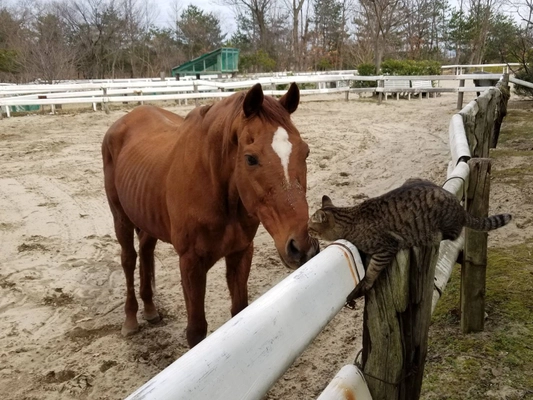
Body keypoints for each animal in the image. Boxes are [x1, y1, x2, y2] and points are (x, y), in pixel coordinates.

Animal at [101, 83, 318, 346]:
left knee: (145, 251)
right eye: (250, 158)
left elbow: (239, 311)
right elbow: (196, 331)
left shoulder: (241, 252)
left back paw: (150, 308)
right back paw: (131, 319)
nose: (301, 246)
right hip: (120, 217)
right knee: (129, 259)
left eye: (305, 152)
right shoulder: (191, 263)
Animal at [308, 177, 512, 304]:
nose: (306, 232)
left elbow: (372, 271)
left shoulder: (387, 247)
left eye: (310, 227)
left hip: (442, 225)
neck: (350, 220)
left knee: (454, 234)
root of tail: (460, 209)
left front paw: (364, 285)